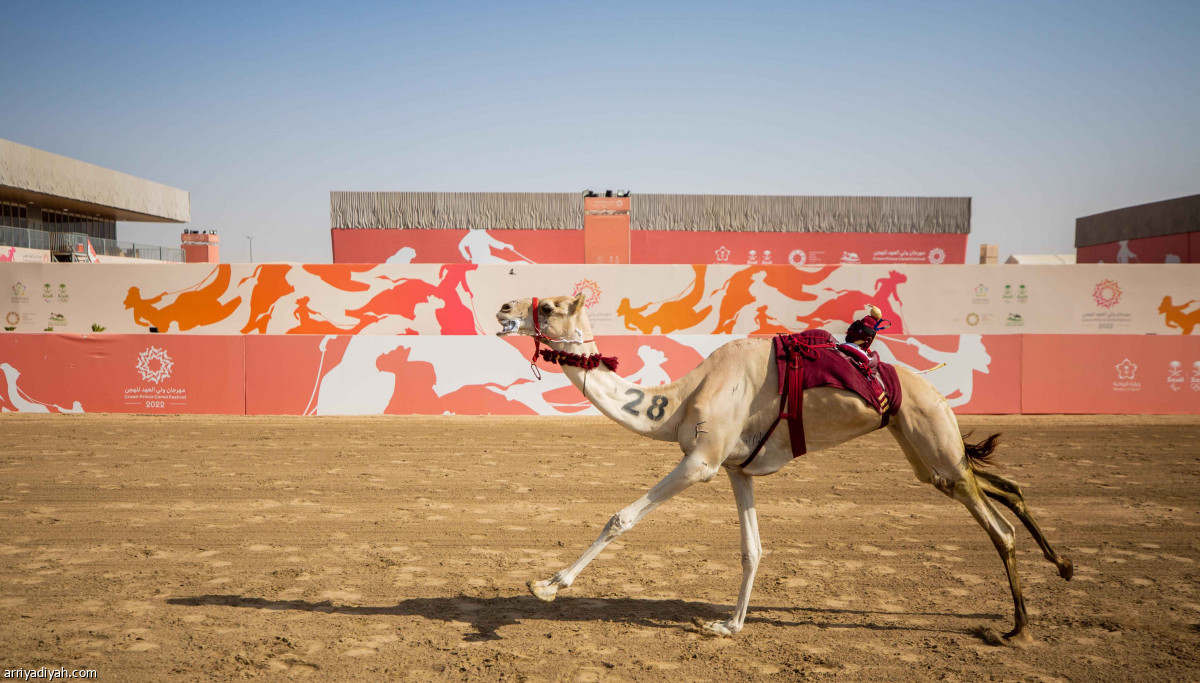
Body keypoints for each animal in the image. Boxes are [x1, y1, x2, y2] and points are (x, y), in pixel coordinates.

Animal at [492, 291, 1075, 638]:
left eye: (550, 306)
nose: (502, 309)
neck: (676, 401)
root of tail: (935, 392)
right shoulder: (736, 469)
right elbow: (753, 549)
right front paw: (730, 626)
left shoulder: (702, 461)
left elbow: (622, 517)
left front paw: (546, 585)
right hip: (923, 450)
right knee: (995, 481)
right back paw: (1063, 565)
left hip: (931, 435)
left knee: (997, 527)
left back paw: (1017, 627)